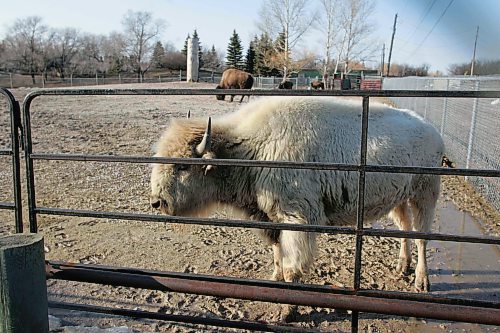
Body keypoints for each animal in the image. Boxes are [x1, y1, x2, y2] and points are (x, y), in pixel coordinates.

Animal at [150, 96, 444, 296]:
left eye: (183, 166)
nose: (156, 201)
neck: (252, 146)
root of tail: (432, 131)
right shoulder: (269, 218)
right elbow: (277, 251)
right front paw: (275, 278)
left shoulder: (297, 219)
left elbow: (293, 264)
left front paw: (288, 306)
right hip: (398, 200)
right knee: (405, 229)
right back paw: (402, 266)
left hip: (425, 196)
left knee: (421, 237)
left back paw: (421, 281)